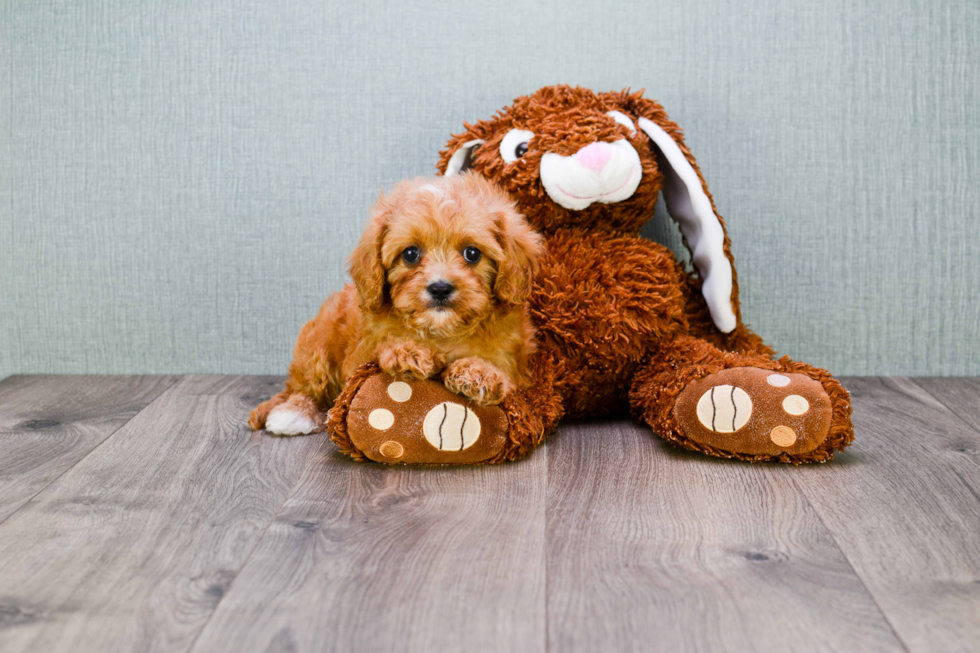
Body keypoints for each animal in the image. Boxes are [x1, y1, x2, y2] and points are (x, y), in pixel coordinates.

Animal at [251, 174, 544, 438]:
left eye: (472, 253)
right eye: (410, 254)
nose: (440, 288)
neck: (442, 331)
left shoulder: (514, 361)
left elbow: (501, 371)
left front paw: (479, 373)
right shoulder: (360, 352)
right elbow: (379, 349)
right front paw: (407, 352)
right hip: (317, 343)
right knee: (304, 386)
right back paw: (293, 412)